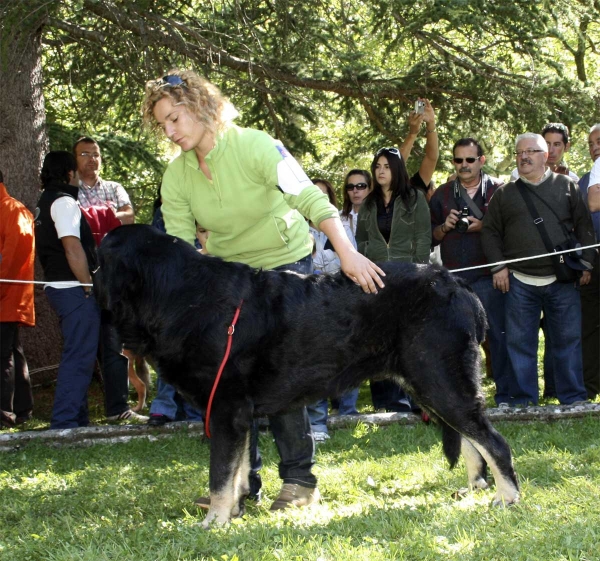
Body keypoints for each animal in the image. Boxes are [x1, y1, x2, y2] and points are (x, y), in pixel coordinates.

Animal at [96, 223, 516, 524]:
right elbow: (238, 470)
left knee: (494, 442)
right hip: (433, 385)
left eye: (100, 258)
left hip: (439, 380)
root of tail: (456, 282)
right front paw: (234, 511)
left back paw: (506, 497)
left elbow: (219, 474)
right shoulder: (240, 413)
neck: (180, 296)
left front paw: (214, 521)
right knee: (472, 441)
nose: (92, 274)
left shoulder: (226, 409)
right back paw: (473, 488)